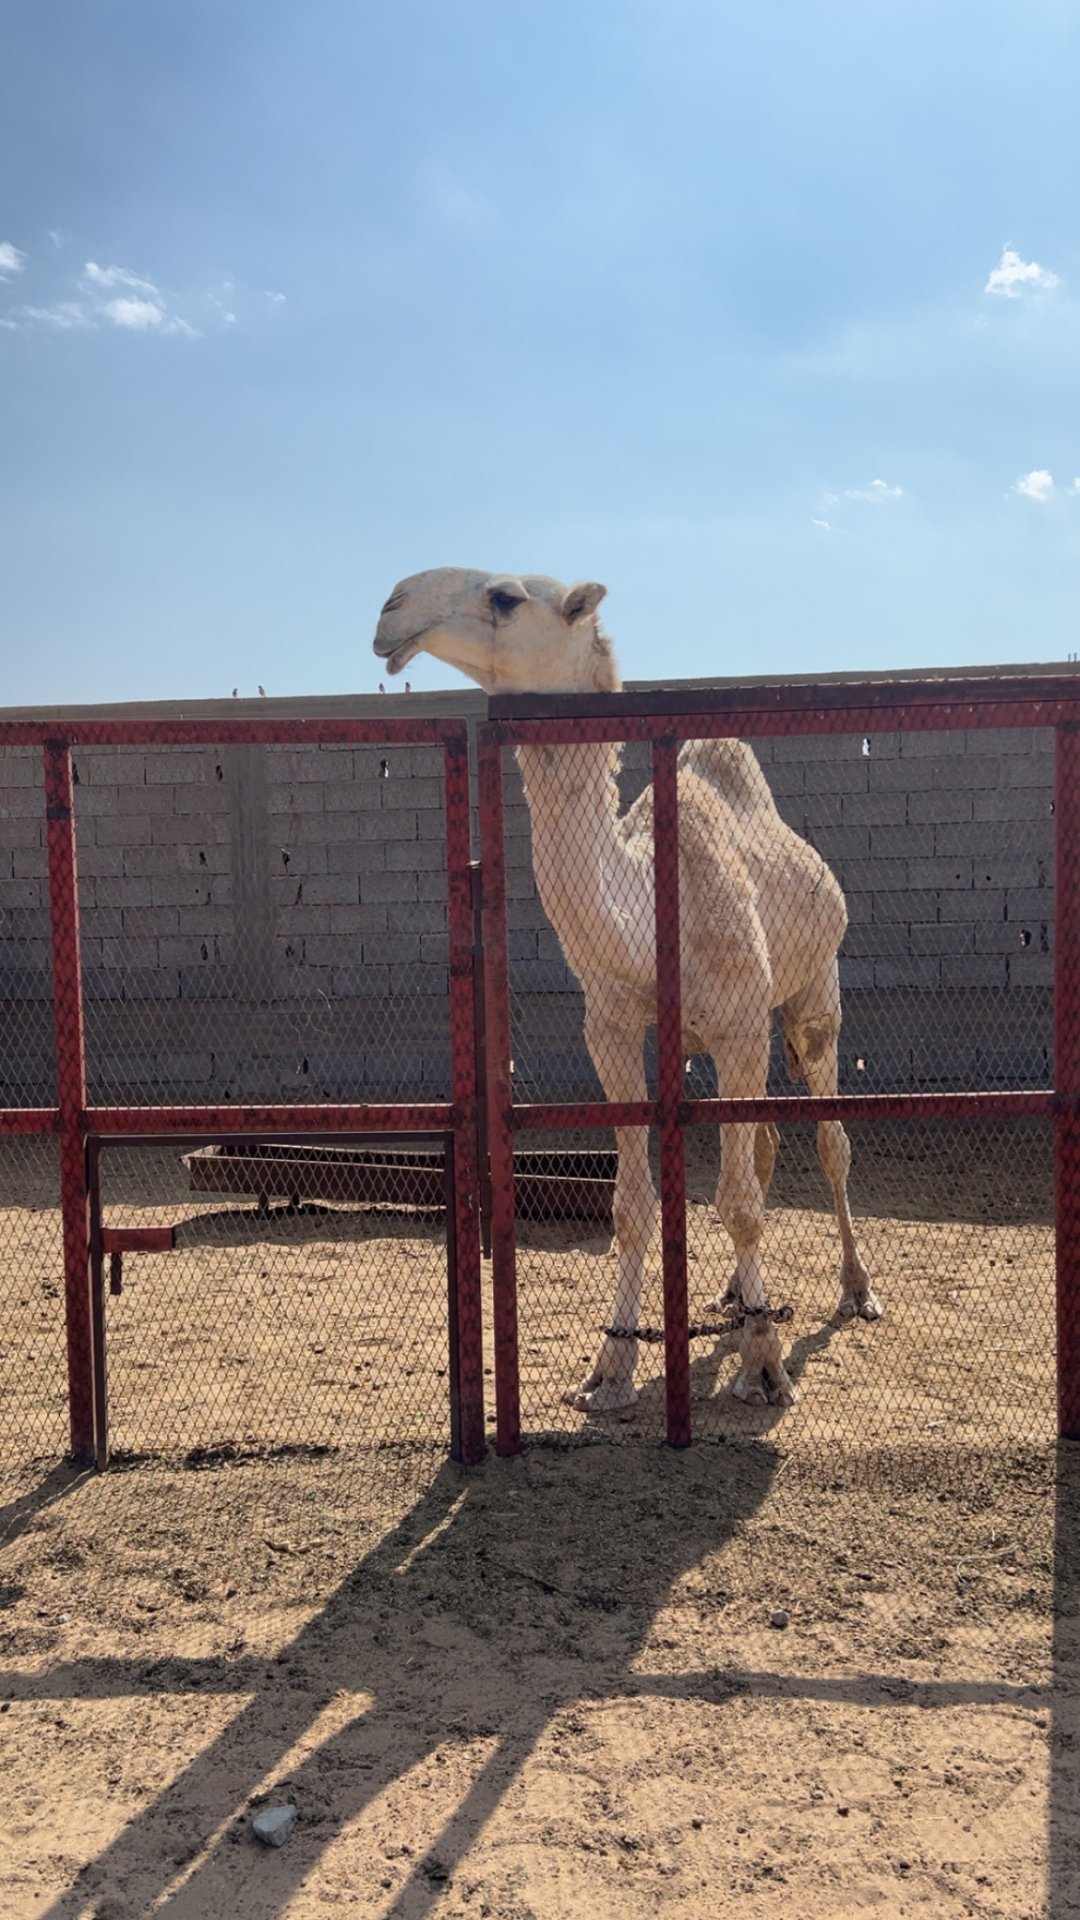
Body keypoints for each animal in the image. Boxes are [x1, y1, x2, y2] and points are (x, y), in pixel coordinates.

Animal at [373, 568, 882, 1412]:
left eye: (505, 596)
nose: (390, 610)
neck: (650, 910)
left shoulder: (741, 1025)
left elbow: (740, 1204)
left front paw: (765, 1368)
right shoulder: (612, 1030)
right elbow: (635, 1206)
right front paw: (609, 1369)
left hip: (813, 995)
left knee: (829, 1139)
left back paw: (856, 1290)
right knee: (765, 1146)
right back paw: (732, 1299)